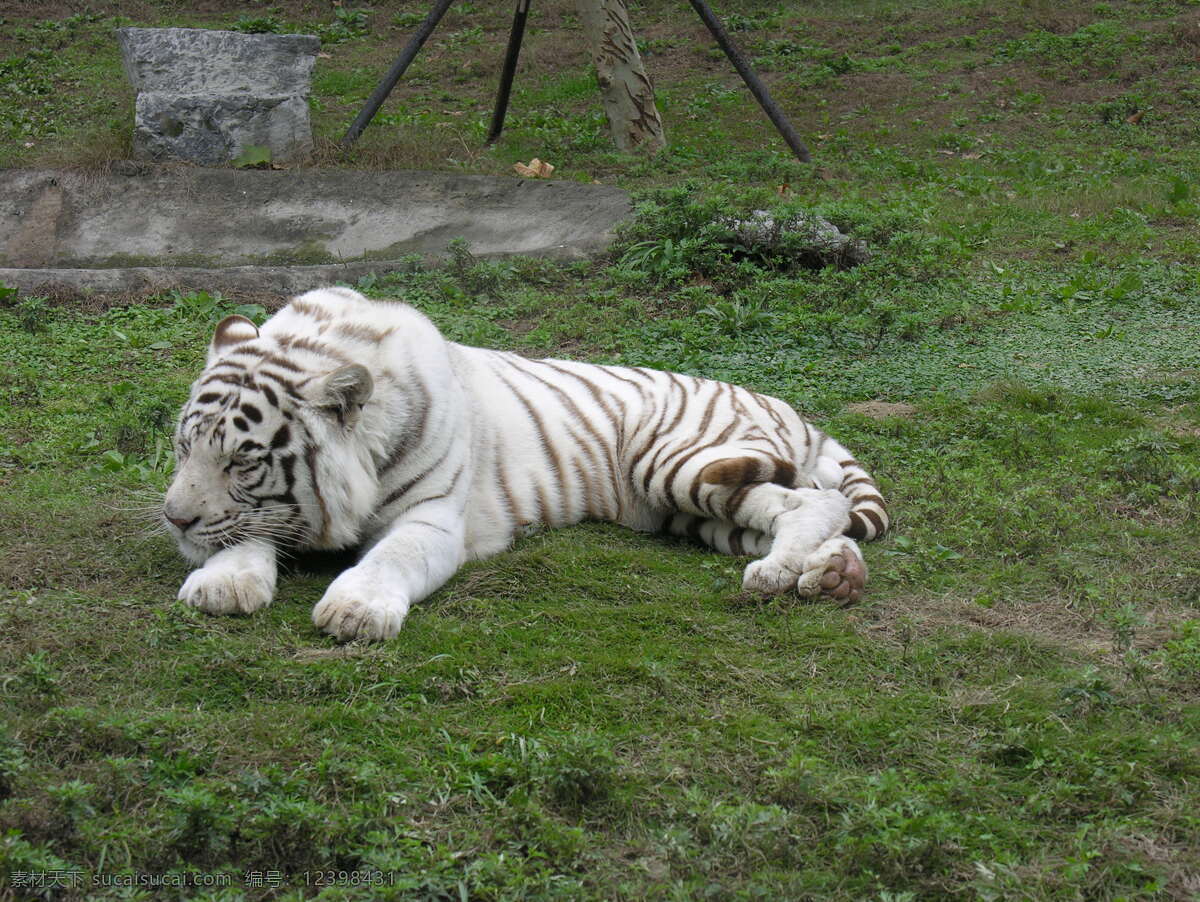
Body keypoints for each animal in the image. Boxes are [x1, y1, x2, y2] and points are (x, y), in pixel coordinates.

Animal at [164, 289, 883, 642]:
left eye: (243, 460)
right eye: (183, 447)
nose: (173, 519)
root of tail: (795, 410)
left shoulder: (432, 520)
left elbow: (391, 557)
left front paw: (356, 610)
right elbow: (244, 535)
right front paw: (222, 585)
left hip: (679, 462)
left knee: (816, 501)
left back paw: (786, 573)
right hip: (691, 511)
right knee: (817, 515)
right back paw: (832, 575)